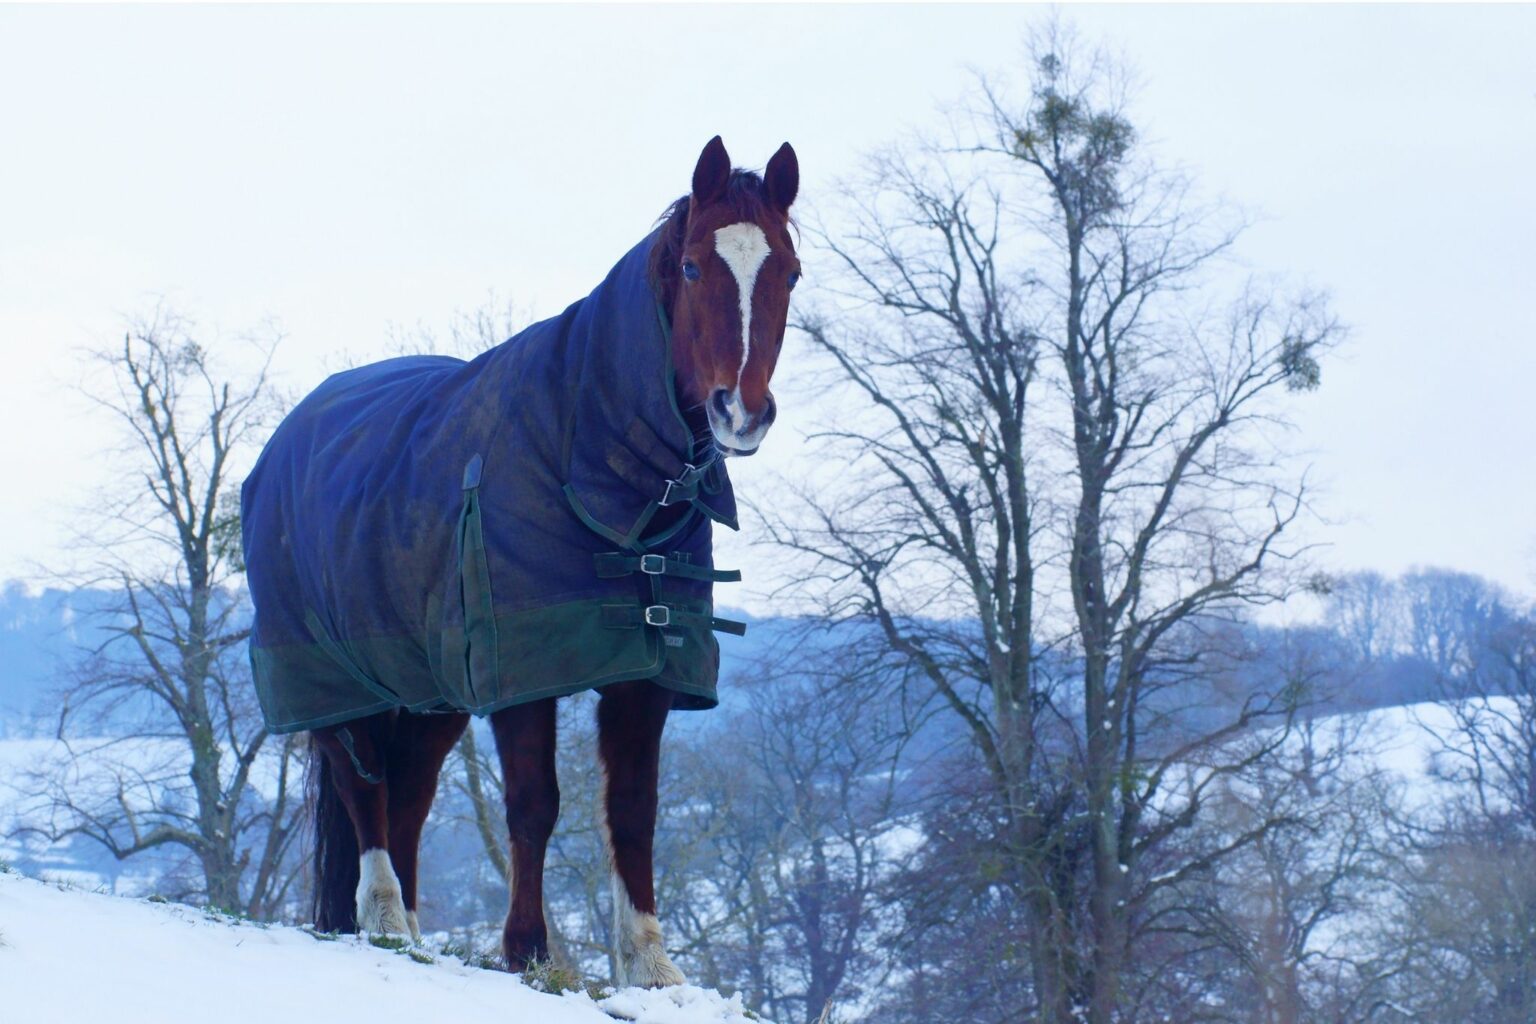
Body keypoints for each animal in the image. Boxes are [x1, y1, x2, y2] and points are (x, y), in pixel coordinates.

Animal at [239, 135, 804, 982]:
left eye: (790, 272)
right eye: (694, 267)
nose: (741, 412)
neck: (580, 438)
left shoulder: (647, 671)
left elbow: (633, 812)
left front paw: (650, 966)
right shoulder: (521, 671)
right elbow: (535, 806)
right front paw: (528, 951)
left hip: (430, 692)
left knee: (407, 796)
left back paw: (409, 927)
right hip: (335, 678)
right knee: (364, 790)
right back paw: (386, 921)